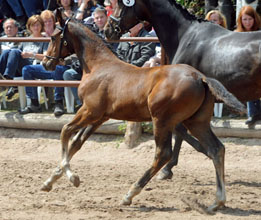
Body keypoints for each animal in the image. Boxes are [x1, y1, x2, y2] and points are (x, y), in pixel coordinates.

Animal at [41, 9, 245, 212]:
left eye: (53, 37)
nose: (45, 63)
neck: (98, 66)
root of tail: (200, 77)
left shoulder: (90, 110)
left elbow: (65, 131)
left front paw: (72, 177)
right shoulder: (100, 117)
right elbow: (77, 142)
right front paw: (49, 181)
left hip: (162, 120)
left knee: (163, 154)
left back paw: (130, 194)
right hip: (196, 122)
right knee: (216, 149)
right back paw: (218, 201)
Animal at [103, 0, 260, 180]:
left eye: (120, 4)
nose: (107, 30)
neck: (185, 36)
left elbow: (178, 130)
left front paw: (167, 168)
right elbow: (180, 131)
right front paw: (170, 168)